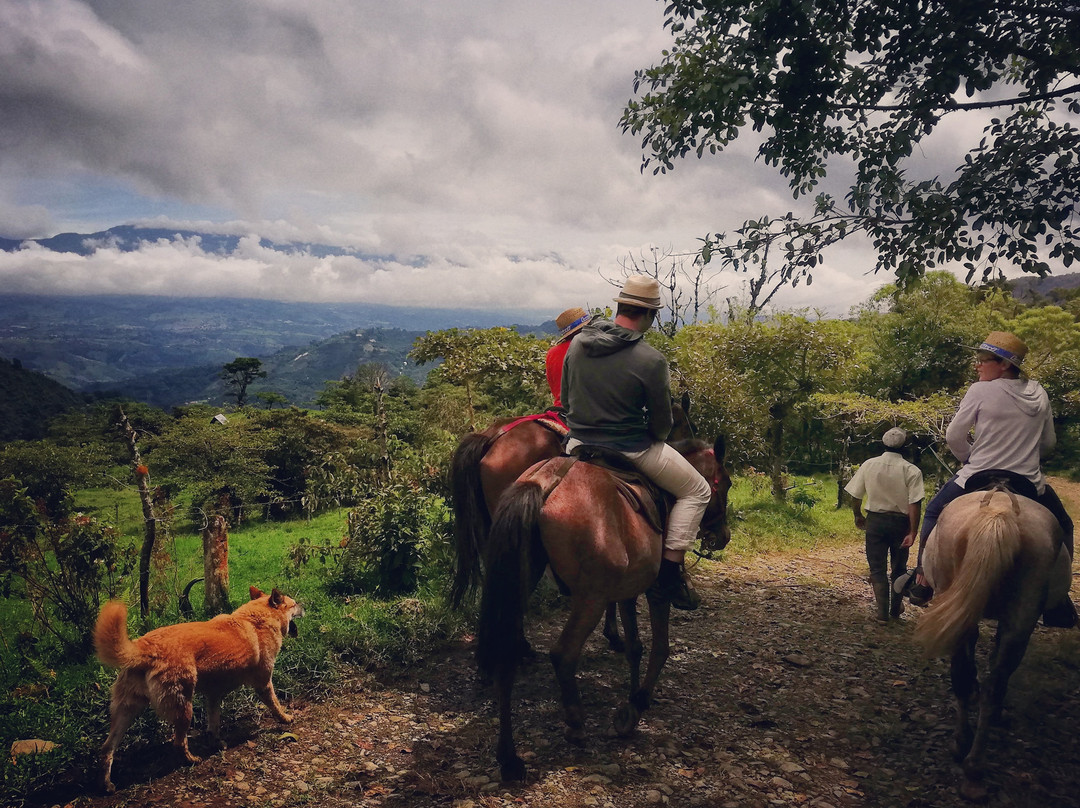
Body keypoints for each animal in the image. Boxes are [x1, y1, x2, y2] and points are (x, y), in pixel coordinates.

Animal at [95, 583, 304, 790]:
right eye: (294, 604)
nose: (304, 605)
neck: (255, 619)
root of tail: (145, 647)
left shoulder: (214, 694)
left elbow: (213, 723)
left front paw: (216, 742)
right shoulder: (263, 683)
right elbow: (275, 705)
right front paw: (286, 718)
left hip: (126, 711)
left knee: (106, 749)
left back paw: (107, 784)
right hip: (183, 707)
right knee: (179, 742)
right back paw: (192, 760)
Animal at [477, 438, 730, 777]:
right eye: (725, 484)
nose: (723, 536)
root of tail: (545, 481)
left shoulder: (626, 591)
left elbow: (635, 647)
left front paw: (632, 697)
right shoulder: (654, 592)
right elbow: (660, 648)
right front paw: (637, 704)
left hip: (520, 583)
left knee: (506, 652)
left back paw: (509, 758)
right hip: (591, 597)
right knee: (563, 654)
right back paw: (574, 723)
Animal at [911, 479, 1071, 803]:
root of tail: (999, 513)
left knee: (967, 677)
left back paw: (967, 754)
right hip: (1020, 615)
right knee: (991, 682)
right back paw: (971, 762)